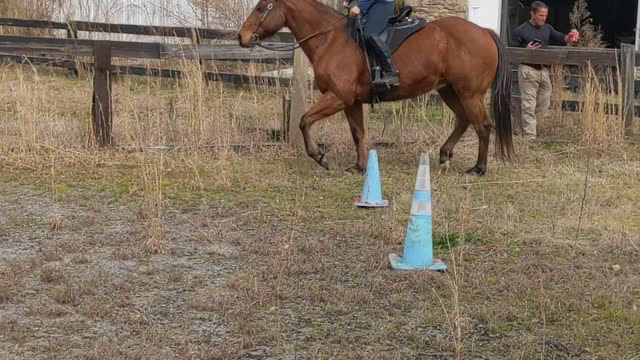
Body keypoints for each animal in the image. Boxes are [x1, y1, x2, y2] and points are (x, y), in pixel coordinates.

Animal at [238, 0, 512, 175]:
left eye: (261, 8)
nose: (241, 37)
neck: (331, 39)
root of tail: (483, 31)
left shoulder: (338, 97)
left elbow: (304, 120)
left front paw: (319, 156)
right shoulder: (351, 102)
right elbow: (358, 133)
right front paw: (359, 167)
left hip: (470, 93)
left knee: (483, 126)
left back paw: (477, 169)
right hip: (449, 90)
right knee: (464, 121)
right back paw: (445, 155)